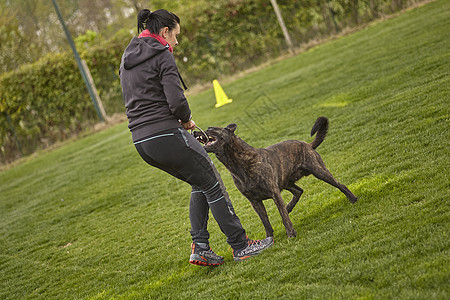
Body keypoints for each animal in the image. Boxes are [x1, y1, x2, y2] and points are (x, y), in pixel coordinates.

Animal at [195, 116, 356, 238]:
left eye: (211, 128)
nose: (195, 131)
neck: (239, 163)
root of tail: (307, 144)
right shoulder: (255, 201)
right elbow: (265, 221)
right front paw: (269, 239)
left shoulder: (274, 192)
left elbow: (283, 217)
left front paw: (291, 234)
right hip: (286, 182)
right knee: (299, 191)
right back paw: (289, 206)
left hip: (319, 171)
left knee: (340, 185)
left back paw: (353, 199)